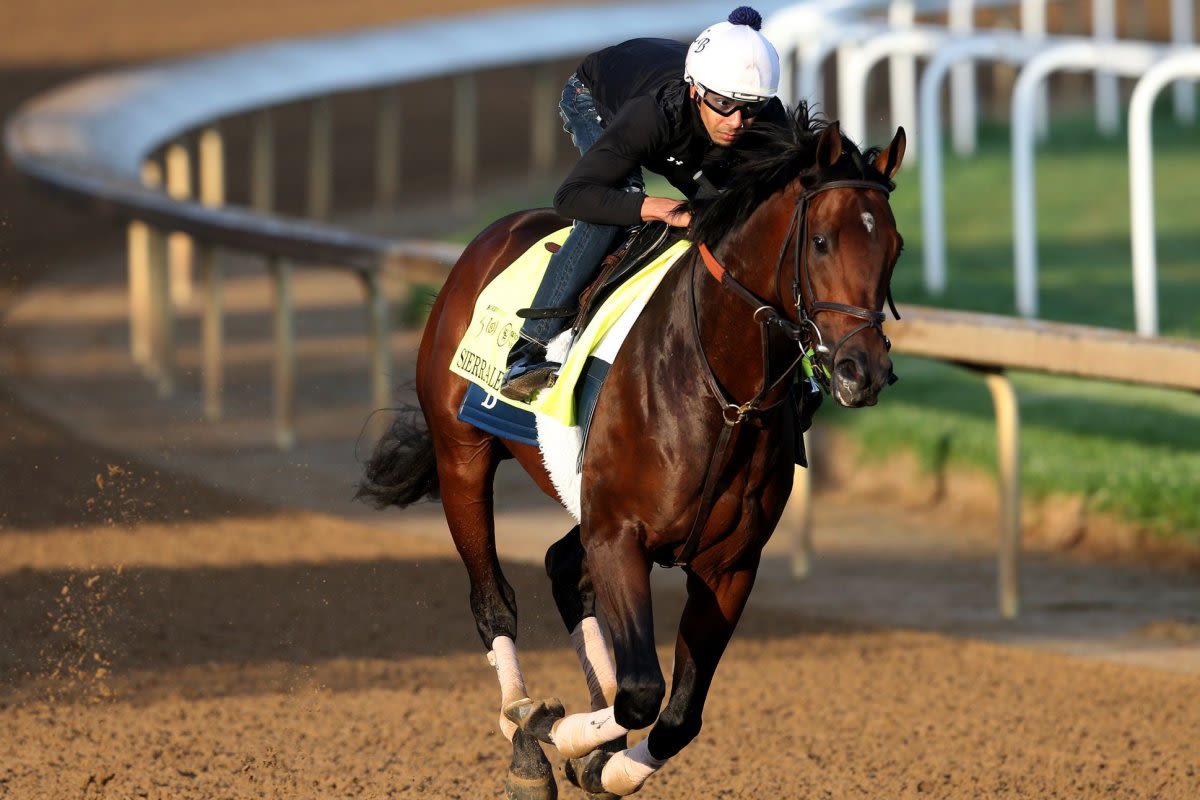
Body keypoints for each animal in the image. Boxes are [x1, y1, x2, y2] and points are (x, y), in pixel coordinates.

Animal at [360, 103, 902, 796]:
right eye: (822, 241)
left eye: (895, 246)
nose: (863, 371)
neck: (721, 395)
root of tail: (489, 238)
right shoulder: (620, 536)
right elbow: (642, 691)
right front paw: (560, 731)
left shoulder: (728, 564)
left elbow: (677, 714)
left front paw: (607, 760)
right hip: (463, 456)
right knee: (492, 601)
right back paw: (526, 735)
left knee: (564, 569)